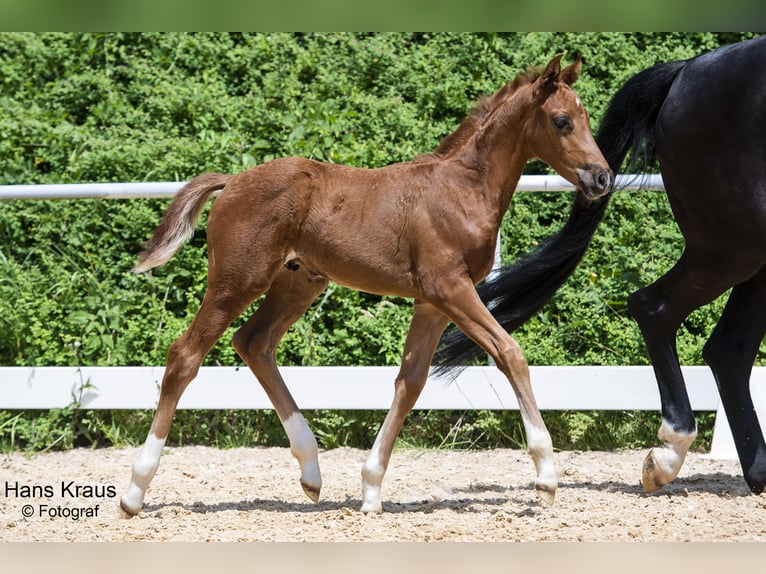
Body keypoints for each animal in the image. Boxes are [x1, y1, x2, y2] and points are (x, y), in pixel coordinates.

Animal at [120, 55, 612, 516]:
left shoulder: (432, 304)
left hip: (299, 282)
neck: (463, 189)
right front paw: (546, 475)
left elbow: (410, 382)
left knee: (254, 342)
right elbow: (510, 353)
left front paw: (371, 488)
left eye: (587, 117)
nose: (602, 177)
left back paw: (311, 472)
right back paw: (134, 491)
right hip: (237, 280)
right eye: (562, 120)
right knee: (185, 355)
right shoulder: (450, 289)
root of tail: (232, 181)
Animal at [438, 35, 766, 496]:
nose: (602, 178)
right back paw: (669, 455)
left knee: (728, 348)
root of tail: (686, 70)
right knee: (660, 310)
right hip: (733, 247)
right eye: (561, 121)